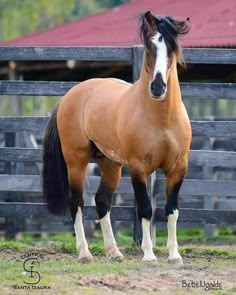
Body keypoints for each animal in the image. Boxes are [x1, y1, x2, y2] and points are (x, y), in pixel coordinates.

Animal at [42, 11, 191, 264]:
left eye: (172, 48)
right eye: (149, 46)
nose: (158, 87)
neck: (161, 120)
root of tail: (70, 95)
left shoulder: (178, 167)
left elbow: (172, 210)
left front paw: (174, 256)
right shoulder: (139, 168)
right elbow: (145, 209)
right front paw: (149, 255)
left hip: (110, 163)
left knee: (102, 201)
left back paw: (114, 252)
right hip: (76, 161)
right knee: (77, 203)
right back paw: (84, 254)